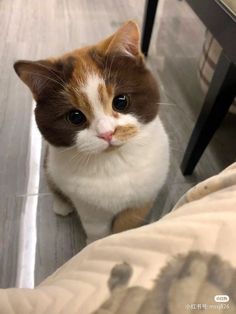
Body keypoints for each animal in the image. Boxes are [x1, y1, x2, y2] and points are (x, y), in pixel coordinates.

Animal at [13, 21, 169, 243]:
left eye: (121, 101)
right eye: (75, 117)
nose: (107, 133)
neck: (113, 163)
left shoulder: (142, 199)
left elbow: (126, 225)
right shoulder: (89, 208)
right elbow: (96, 229)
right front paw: (94, 243)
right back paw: (61, 205)